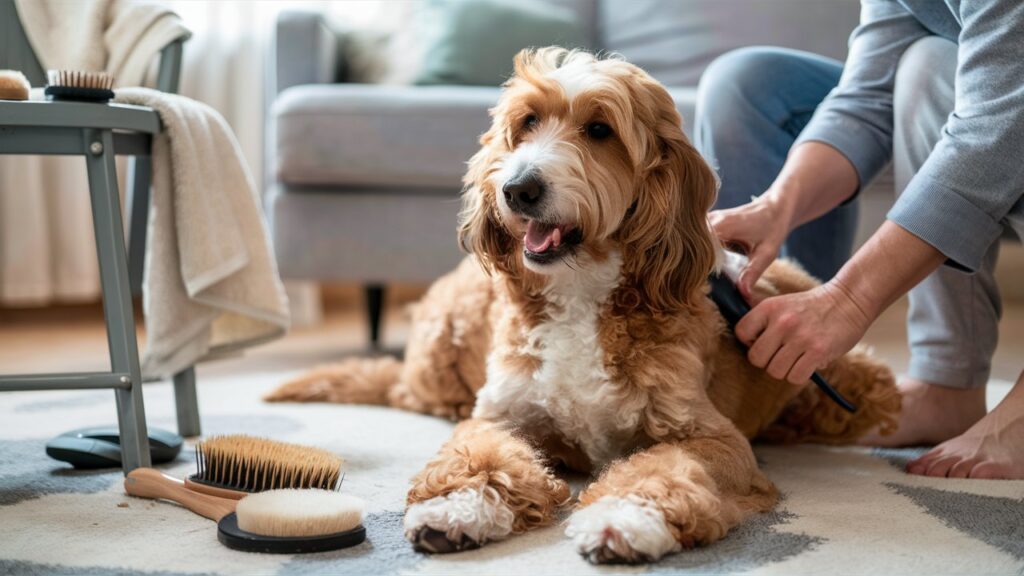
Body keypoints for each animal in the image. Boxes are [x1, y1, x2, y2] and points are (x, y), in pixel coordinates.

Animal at [268, 47, 901, 561]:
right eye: (526, 123)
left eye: (600, 130)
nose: (517, 188)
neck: (580, 294)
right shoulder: (500, 416)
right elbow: (479, 452)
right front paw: (458, 506)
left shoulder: (710, 437)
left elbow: (666, 466)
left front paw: (626, 518)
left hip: (855, 384)